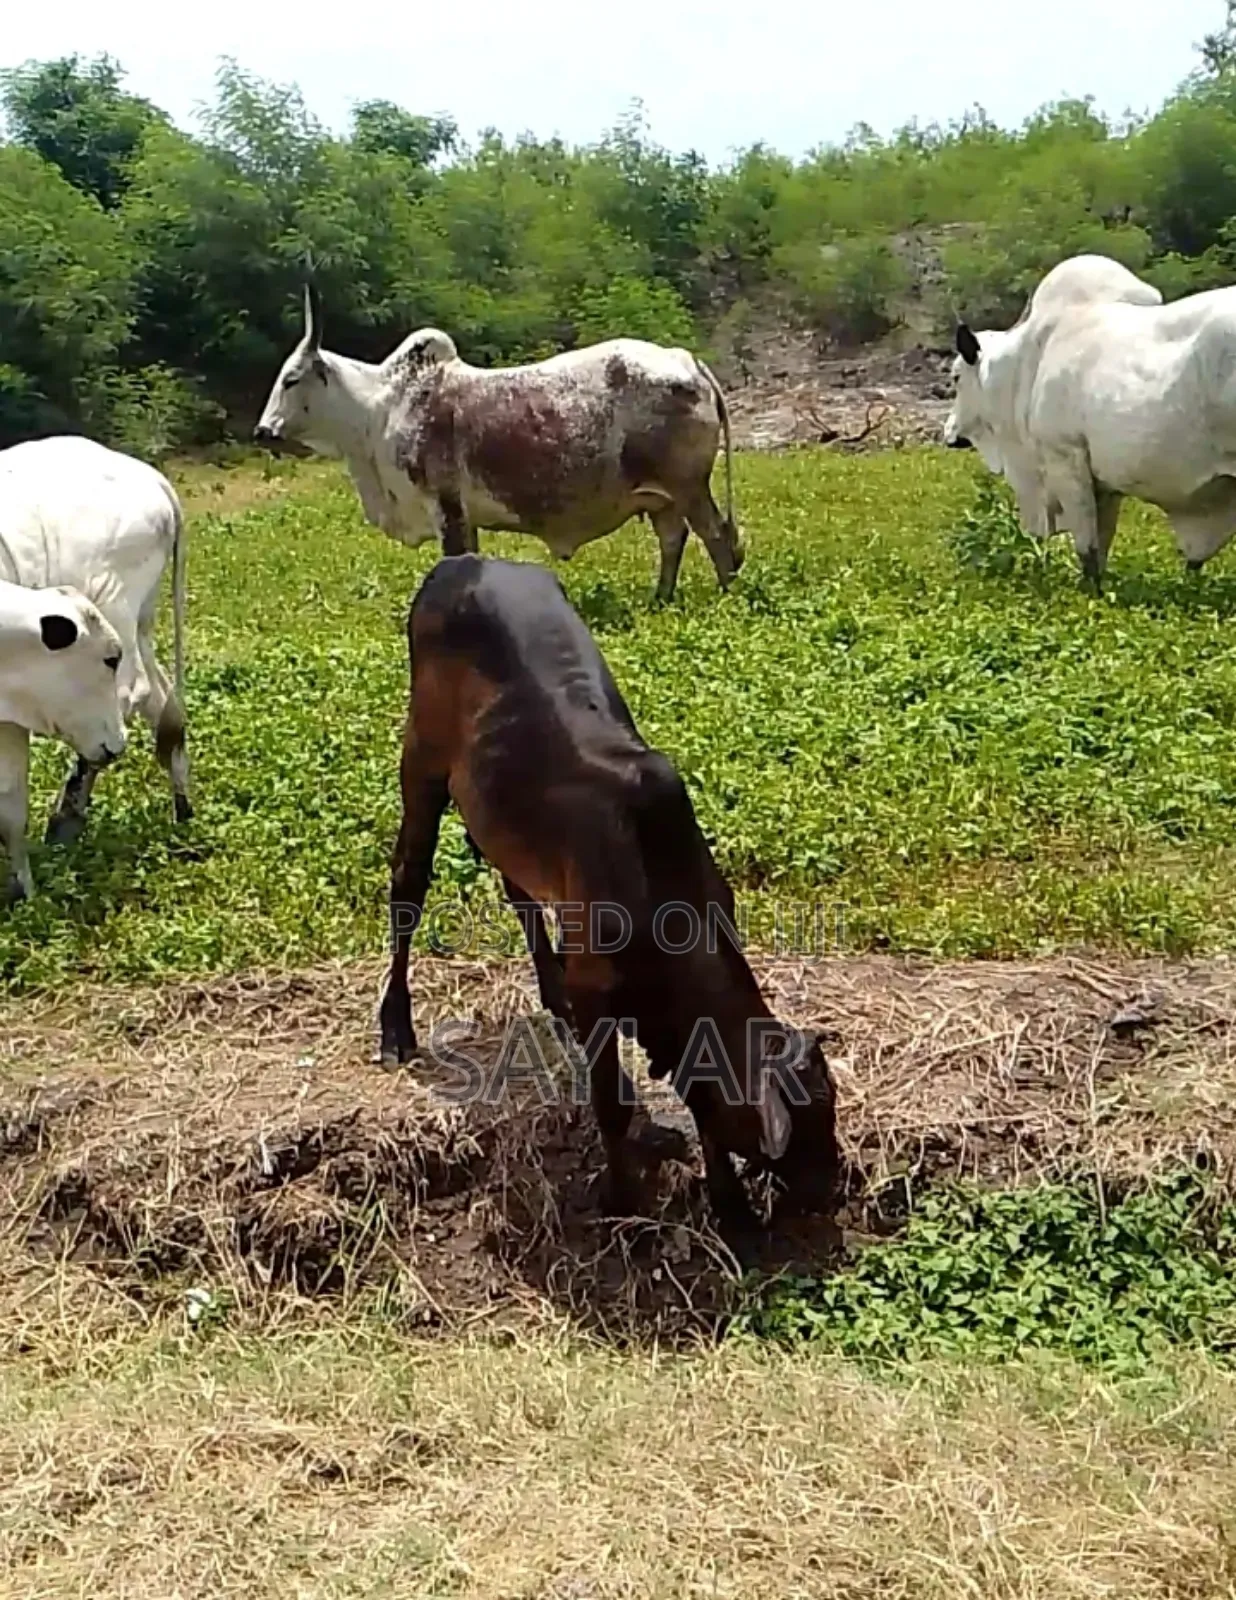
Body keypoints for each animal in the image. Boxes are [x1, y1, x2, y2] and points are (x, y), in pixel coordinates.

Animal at [0, 435, 190, 864]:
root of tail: (149, 476)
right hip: (139, 622)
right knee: (162, 701)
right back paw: (182, 808)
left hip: (111, 599)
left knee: (130, 694)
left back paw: (66, 818)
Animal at [253, 287, 744, 604]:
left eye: (291, 379)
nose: (262, 431)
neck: (378, 409)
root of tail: (686, 359)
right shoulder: (465, 518)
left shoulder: (445, 506)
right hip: (661, 497)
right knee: (673, 539)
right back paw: (660, 601)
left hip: (688, 486)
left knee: (717, 536)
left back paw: (725, 599)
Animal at [376, 554, 839, 1250]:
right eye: (800, 1137)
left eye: (828, 1109)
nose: (837, 1189)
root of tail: (461, 562)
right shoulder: (599, 988)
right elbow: (612, 1103)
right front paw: (622, 1200)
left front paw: (730, 1208)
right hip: (421, 764)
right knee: (408, 884)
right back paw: (396, 1026)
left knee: (517, 891)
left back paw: (549, 992)